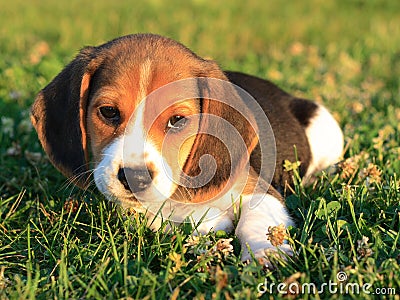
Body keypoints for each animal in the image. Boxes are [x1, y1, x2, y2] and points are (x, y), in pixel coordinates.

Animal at [32, 33, 344, 262]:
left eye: (177, 120)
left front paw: (266, 254)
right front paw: (209, 221)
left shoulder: (260, 190)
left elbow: (256, 221)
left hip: (327, 128)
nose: (135, 178)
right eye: (108, 112)